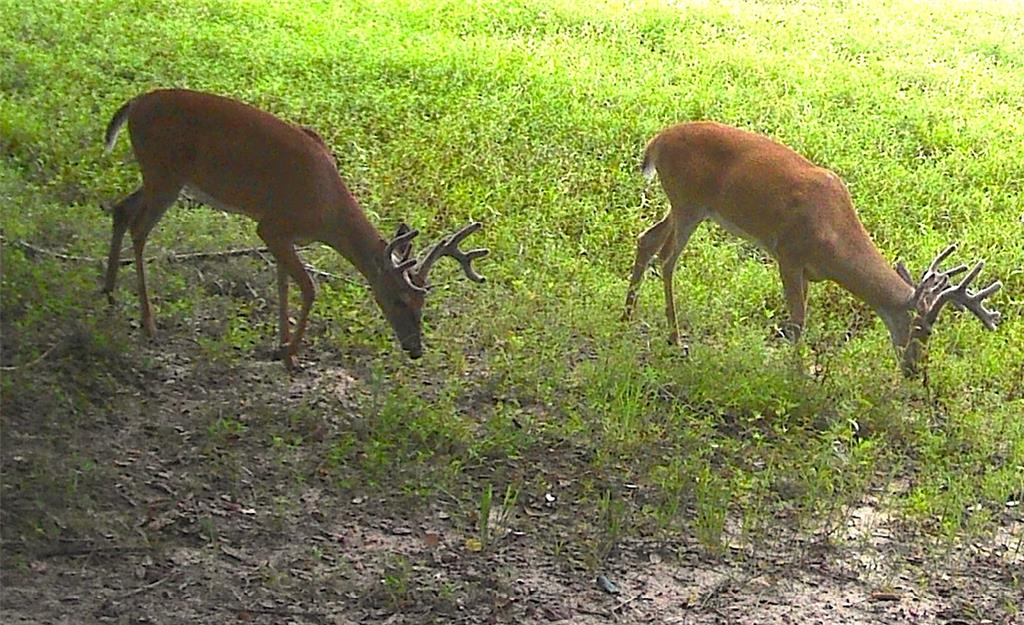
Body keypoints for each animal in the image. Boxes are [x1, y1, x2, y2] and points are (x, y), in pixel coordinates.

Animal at [102, 90, 487, 366]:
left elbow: (283, 283)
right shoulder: (272, 226)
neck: (327, 208)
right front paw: (291, 356)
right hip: (164, 172)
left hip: (161, 177)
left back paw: (108, 292)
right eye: (398, 300)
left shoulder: (282, 234)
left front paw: (281, 344)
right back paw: (148, 322)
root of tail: (134, 104)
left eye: (423, 303)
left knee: (121, 209)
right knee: (139, 229)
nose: (415, 349)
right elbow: (309, 288)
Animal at [618, 122, 1003, 375]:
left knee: (646, 240)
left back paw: (627, 317)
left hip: (682, 204)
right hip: (689, 201)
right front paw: (799, 374)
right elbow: (798, 321)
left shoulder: (807, 271)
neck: (834, 238)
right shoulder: (788, 254)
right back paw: (675, 338)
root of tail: (656, 142)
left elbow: (802, 317)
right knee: (667, 258)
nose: (916, 371)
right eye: (925, 331)